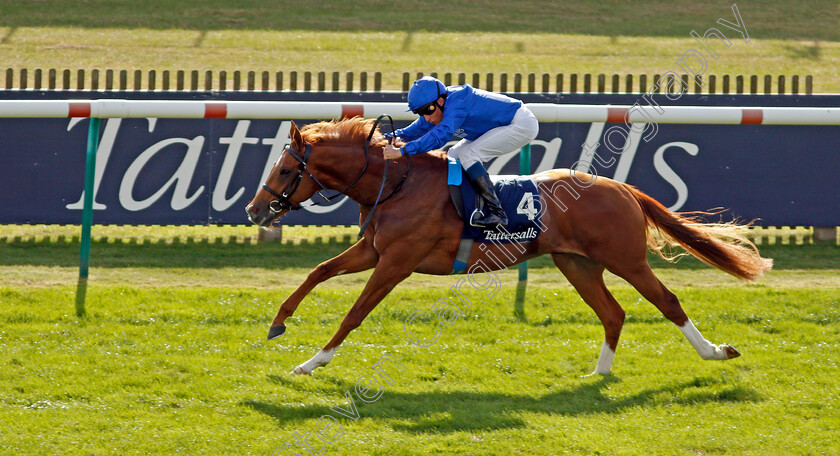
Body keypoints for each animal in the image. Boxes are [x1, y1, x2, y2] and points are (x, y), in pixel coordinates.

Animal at [246, 116, 772, 374]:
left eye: (287, 170)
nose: (254, 210)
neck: (397, 183)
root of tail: (623, 188)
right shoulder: (373, 251)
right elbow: (318, 272)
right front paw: (278, 324)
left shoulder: (396, 261)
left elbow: (355, 312)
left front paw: (313, 362)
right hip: (577, 263)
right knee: (613, 313)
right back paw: (597, 375)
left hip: (624, 258)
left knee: (667, 301)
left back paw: (716, 353)